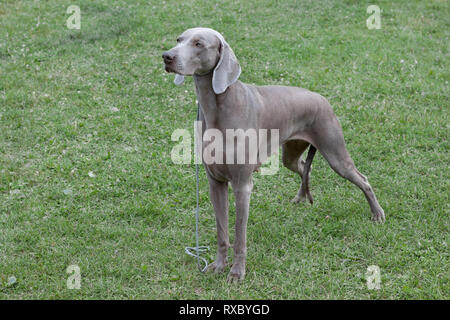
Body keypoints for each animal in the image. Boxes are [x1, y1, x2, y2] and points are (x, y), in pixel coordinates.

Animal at [162, 27, 384, 282]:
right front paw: (218, 265)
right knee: (303, 167)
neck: (217, 106)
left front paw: (237, 272)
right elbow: (222, 231)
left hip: (335, 152)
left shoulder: (242, 185)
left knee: (362, 179)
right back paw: (300, 197)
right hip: (291, 154)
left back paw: (377, 213)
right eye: (179, 39)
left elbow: (239, 235)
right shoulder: (215, 182)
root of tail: (322, 98)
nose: (166, 56)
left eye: (198, 43)